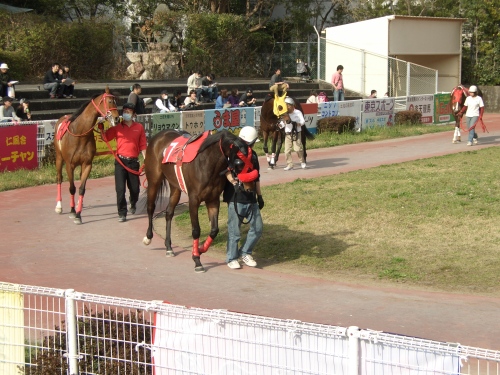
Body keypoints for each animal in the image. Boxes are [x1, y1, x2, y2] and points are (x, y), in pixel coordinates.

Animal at [54, 86, 119, 225]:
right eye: (110, 101)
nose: (117, 118)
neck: (80, 133)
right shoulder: (69, 165)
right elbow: (72, 188)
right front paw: (73, 211)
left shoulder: (87, 164)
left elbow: (82, 189)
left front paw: (78, 214)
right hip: (59, 158)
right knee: (59, 178)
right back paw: (59, 206)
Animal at [142, 129, 250, 274]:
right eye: (234, 148)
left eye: (246, 150)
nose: (240, 165)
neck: (206, 163)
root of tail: (158, 136)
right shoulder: (194, 200)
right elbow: (196, 230)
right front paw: (197, 260)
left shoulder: (213, 200)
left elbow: (214, 230)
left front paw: (200, 249)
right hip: (154, 180)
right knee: (150, 207)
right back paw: (148, 237)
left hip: (175, 186)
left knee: (169, 213)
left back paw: (169, 247)